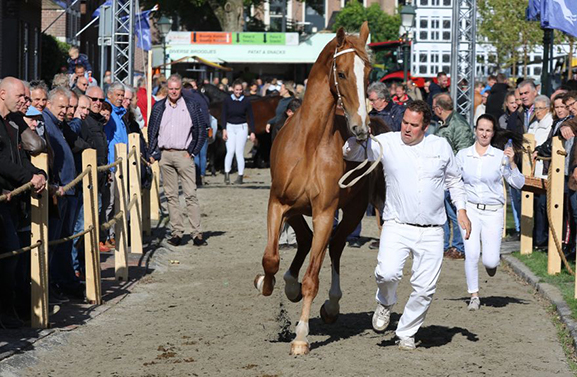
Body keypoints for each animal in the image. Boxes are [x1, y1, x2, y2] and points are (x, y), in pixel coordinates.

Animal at [253, 22, 374, 352]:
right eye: (342, 73)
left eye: (368, 74)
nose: (360, 127)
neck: (309, 143)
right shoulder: (278, 203)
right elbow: (271, 259)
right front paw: (267, 283)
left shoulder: (324, 213)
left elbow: (312, 278)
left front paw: (301, 336)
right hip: (296, 209)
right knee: (305, 240)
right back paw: (287, 285)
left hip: (354, 211)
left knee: (335, 245)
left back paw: (331, 306)